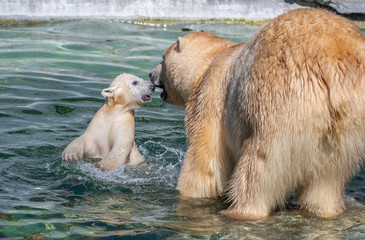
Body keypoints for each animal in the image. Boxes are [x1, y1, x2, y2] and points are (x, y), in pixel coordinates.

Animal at [149, 8, 364, 220]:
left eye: (162, 59)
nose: (150, 74)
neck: (213, 59)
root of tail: (332, 64)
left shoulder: (210, 99)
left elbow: (204, 162)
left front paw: (188, 193)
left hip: (280, 106)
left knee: (259, 168)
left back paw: (241, 211)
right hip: (346, 130)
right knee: (328, 179)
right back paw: (324, 210)